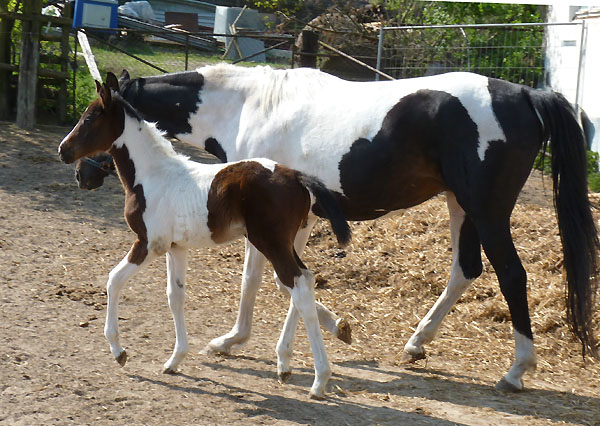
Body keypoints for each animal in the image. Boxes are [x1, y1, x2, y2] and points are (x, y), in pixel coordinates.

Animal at [58, 83, 350, 400]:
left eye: (89, 118)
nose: (64, 152)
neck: (153, 175)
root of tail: (297, 176)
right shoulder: (176, 247)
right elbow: (175, 297)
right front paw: (175, 360)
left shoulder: (148, 243)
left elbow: (113, 280)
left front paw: (119, 351)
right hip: (287, 242)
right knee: (305, 281)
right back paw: (289, 365)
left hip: (271, 243)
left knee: (298, 286)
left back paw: (318, 380)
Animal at [88, 67, 596, 392]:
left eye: (92, 119)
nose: (81, 173)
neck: (250, 105)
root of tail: (528, 95)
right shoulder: (296, 221)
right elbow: (288, 283)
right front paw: (312, 344)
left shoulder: (267, 223)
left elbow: (260, 280)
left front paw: (236, 342)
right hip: (461, 206)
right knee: (465, 270)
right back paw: (417, 344)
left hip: (487, 210)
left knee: (511, 275)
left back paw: (516, 371)